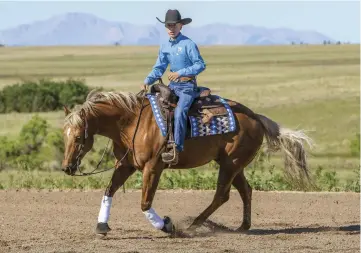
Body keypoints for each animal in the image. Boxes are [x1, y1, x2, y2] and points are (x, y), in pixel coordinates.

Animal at [61, 88, 312, 236]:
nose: (66, 167)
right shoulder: (126, 165)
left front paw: (167, 226)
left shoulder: (153, 167)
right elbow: (109, 190)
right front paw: (102, 226)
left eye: (78, 137)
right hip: (233, 164)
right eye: (64, 135)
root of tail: (257, 118)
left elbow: (145, 202)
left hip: (230, 163)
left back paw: (193, 225)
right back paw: (242, 227)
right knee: (245, 191)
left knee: (222, 195)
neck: (131, 122)